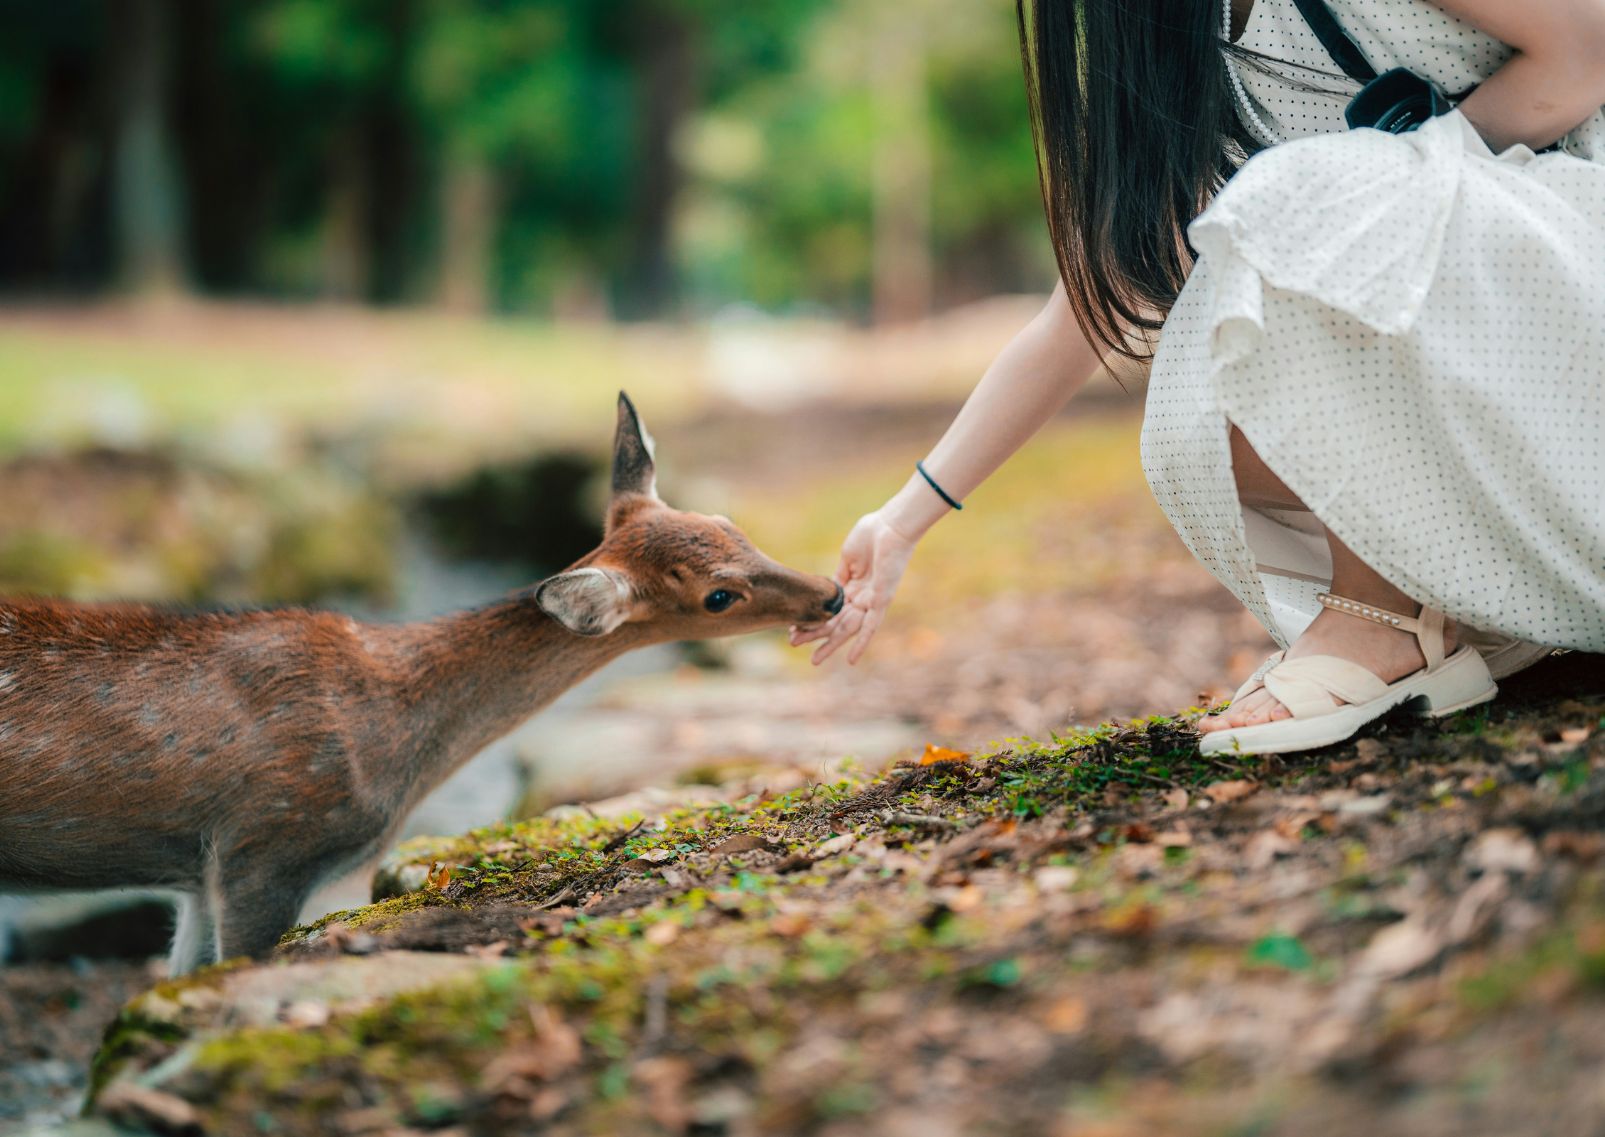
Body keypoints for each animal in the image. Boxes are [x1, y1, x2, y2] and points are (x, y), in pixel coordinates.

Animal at [0, 395, 847, 969]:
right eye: (717, 596)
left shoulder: (194, 872)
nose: (832, 593)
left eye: (729, 522)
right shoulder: (267, 841)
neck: (400, 734)